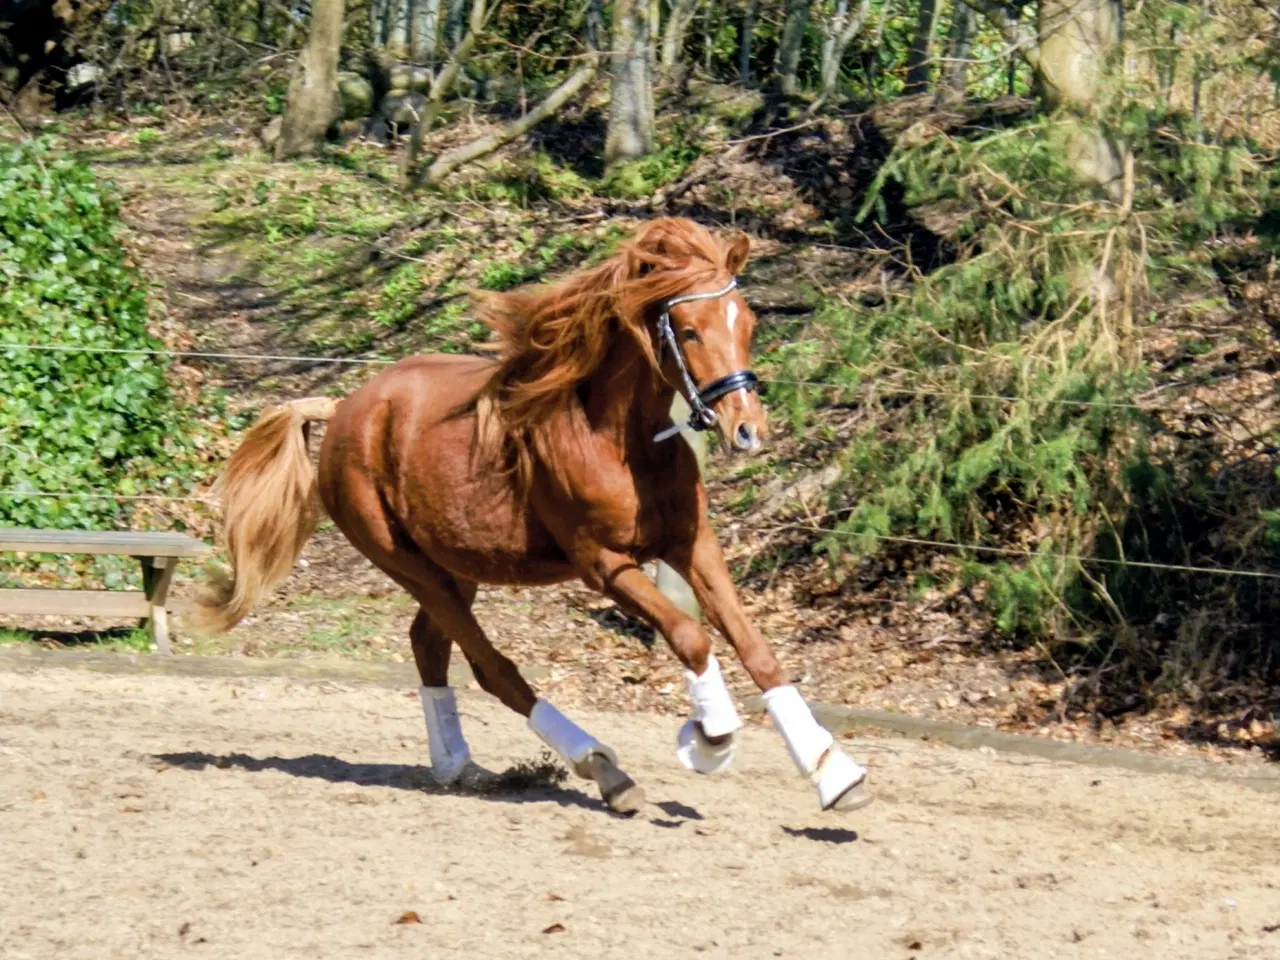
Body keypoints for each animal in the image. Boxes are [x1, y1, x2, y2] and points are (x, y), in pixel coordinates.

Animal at [194, 217, 870, 815]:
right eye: (688, 329)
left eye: (747, 320)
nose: (747, 429)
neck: (620, 442)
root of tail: (343, 410)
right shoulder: (603, 564)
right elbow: (691, 635)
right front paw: (709, 739)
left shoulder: (691, 544)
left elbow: (757, 649)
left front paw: (834, 774)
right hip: (405, 562)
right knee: (491, 667)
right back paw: (603, 769)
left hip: (454, 566)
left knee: (428, 646)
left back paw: (458, 766)